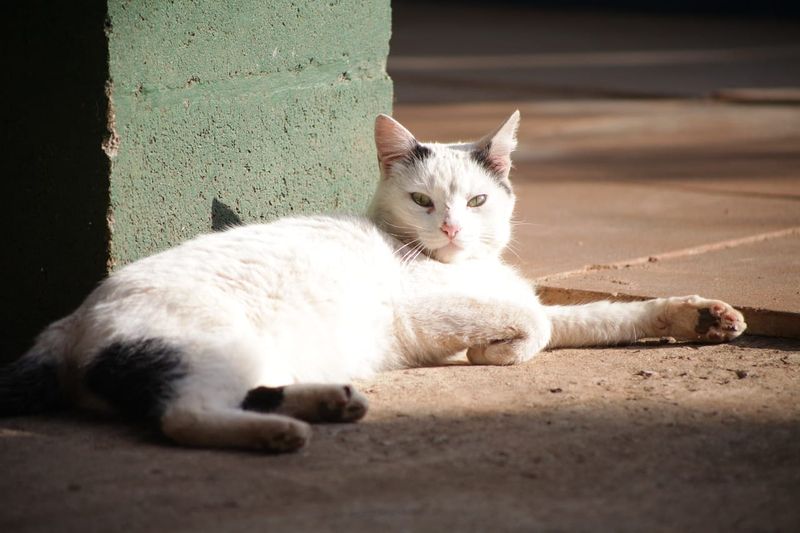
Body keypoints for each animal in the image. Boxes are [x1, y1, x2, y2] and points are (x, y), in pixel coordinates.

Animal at [3, 110, 748, 450]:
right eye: (423, 200)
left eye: (477, 201)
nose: (451, 228)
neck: (463, 266)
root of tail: (65, 324)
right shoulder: (425, 315)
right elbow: (535, 323)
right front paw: (498, 351)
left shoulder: (519, 296)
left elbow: (596, 315)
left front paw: (700, 315)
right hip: (210, 342)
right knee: (182, 415)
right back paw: (284, 433)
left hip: (251, 356)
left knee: (239, 395)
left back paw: (330, 402)